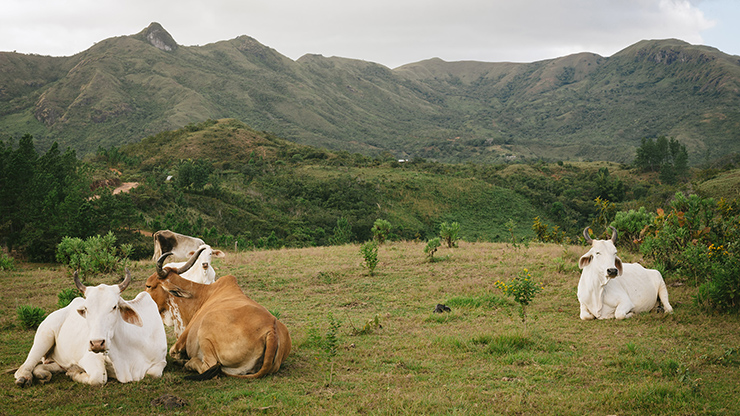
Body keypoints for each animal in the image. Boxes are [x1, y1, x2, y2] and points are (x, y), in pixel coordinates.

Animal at [14, 270, 168, 386]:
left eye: (114, 307)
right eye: (86, 309)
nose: (97, 343)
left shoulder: (161, 361)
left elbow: (153, 374)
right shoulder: (89, 358)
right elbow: (99, 378)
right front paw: (74, 373)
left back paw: (42, 374)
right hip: (44, 336)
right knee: (27, 364)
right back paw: (24, 378)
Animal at [146, 252, 290, 378]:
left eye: (148, 286)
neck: (201, 295)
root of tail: (272, 331)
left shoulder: (180, 343)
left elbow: (173, 353)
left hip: (205, 330)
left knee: (209, 366)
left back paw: (188, 363)